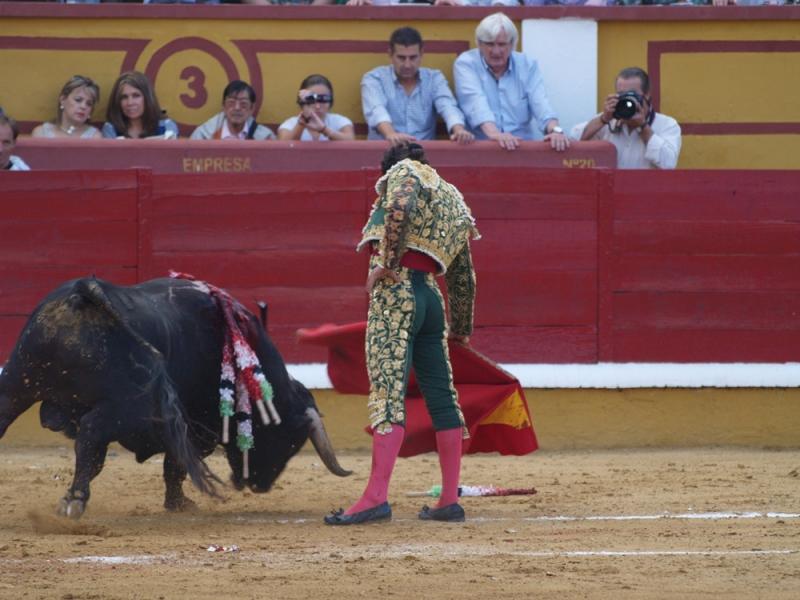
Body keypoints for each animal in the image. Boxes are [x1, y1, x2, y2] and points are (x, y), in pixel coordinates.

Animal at [0, 276, 350, 516]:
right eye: (290, 442)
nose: (259, 485)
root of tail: (82, 294)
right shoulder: (198, 429)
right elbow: (176, 464)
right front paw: (180, 503)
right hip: (123, 407)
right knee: (89, 437)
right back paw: (75, 500)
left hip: (16, 383)